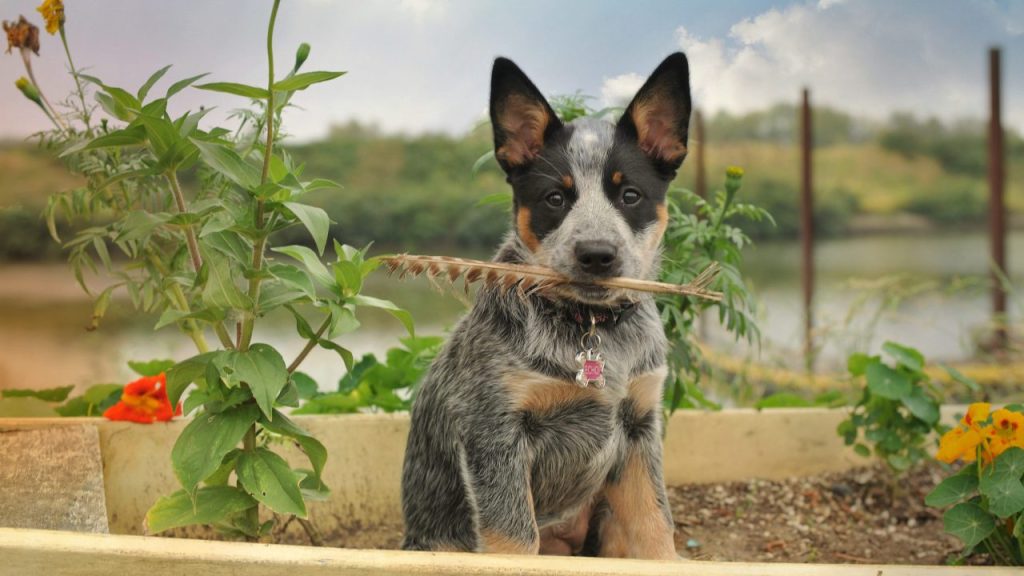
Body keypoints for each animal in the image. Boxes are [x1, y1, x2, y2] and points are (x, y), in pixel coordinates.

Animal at [395, 52, 692, 557]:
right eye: (555, 197)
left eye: (630, 195)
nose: (596, 254)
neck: (592, 328)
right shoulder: (494, 431)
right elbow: (514, 537)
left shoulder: (639, 426)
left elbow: (655, 525)